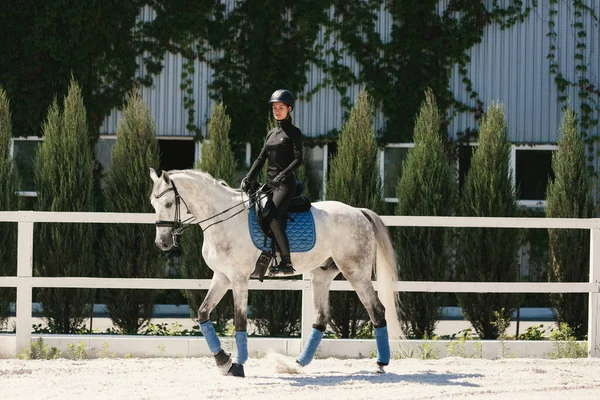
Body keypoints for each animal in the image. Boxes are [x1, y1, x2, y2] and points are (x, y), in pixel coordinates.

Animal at [150, 167, 404, 376]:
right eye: (153, 205)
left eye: (169, 204)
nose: (162, 243)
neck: (223, 220)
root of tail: (359, 212)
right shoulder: (222, 277)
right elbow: (203, 313)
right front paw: (223, 361)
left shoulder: (239, 279)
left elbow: (240, 321)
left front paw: (237, 365)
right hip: (322, 275)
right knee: (321, 318)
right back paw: (296, 364)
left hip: (355, 272)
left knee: (377, 310)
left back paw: (381, 364)